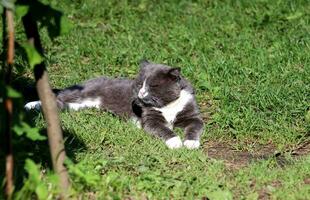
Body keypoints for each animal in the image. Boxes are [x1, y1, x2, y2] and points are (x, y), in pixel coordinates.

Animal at [25, 60, 205, 149]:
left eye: (153, 86)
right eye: (139, 84)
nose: (140, 93)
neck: (167, 106)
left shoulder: (193, 115)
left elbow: (195, 126)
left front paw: (191, 143)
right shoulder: (150, 120)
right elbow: (163, 129)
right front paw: (175, 142)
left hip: (78, 105)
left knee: (61, 104)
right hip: (80, 93)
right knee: (57, 97)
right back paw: (30, 105)